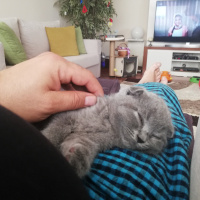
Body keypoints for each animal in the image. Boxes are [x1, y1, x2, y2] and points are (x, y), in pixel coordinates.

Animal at [41, 86, 173, 177]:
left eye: (155, 137)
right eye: (140, 118)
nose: (141, 139)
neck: (109, 126)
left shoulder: (87, 138)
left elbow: (81, 145)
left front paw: (75, 160)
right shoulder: (66, 117)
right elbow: (54, 131)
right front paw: (46, 142)